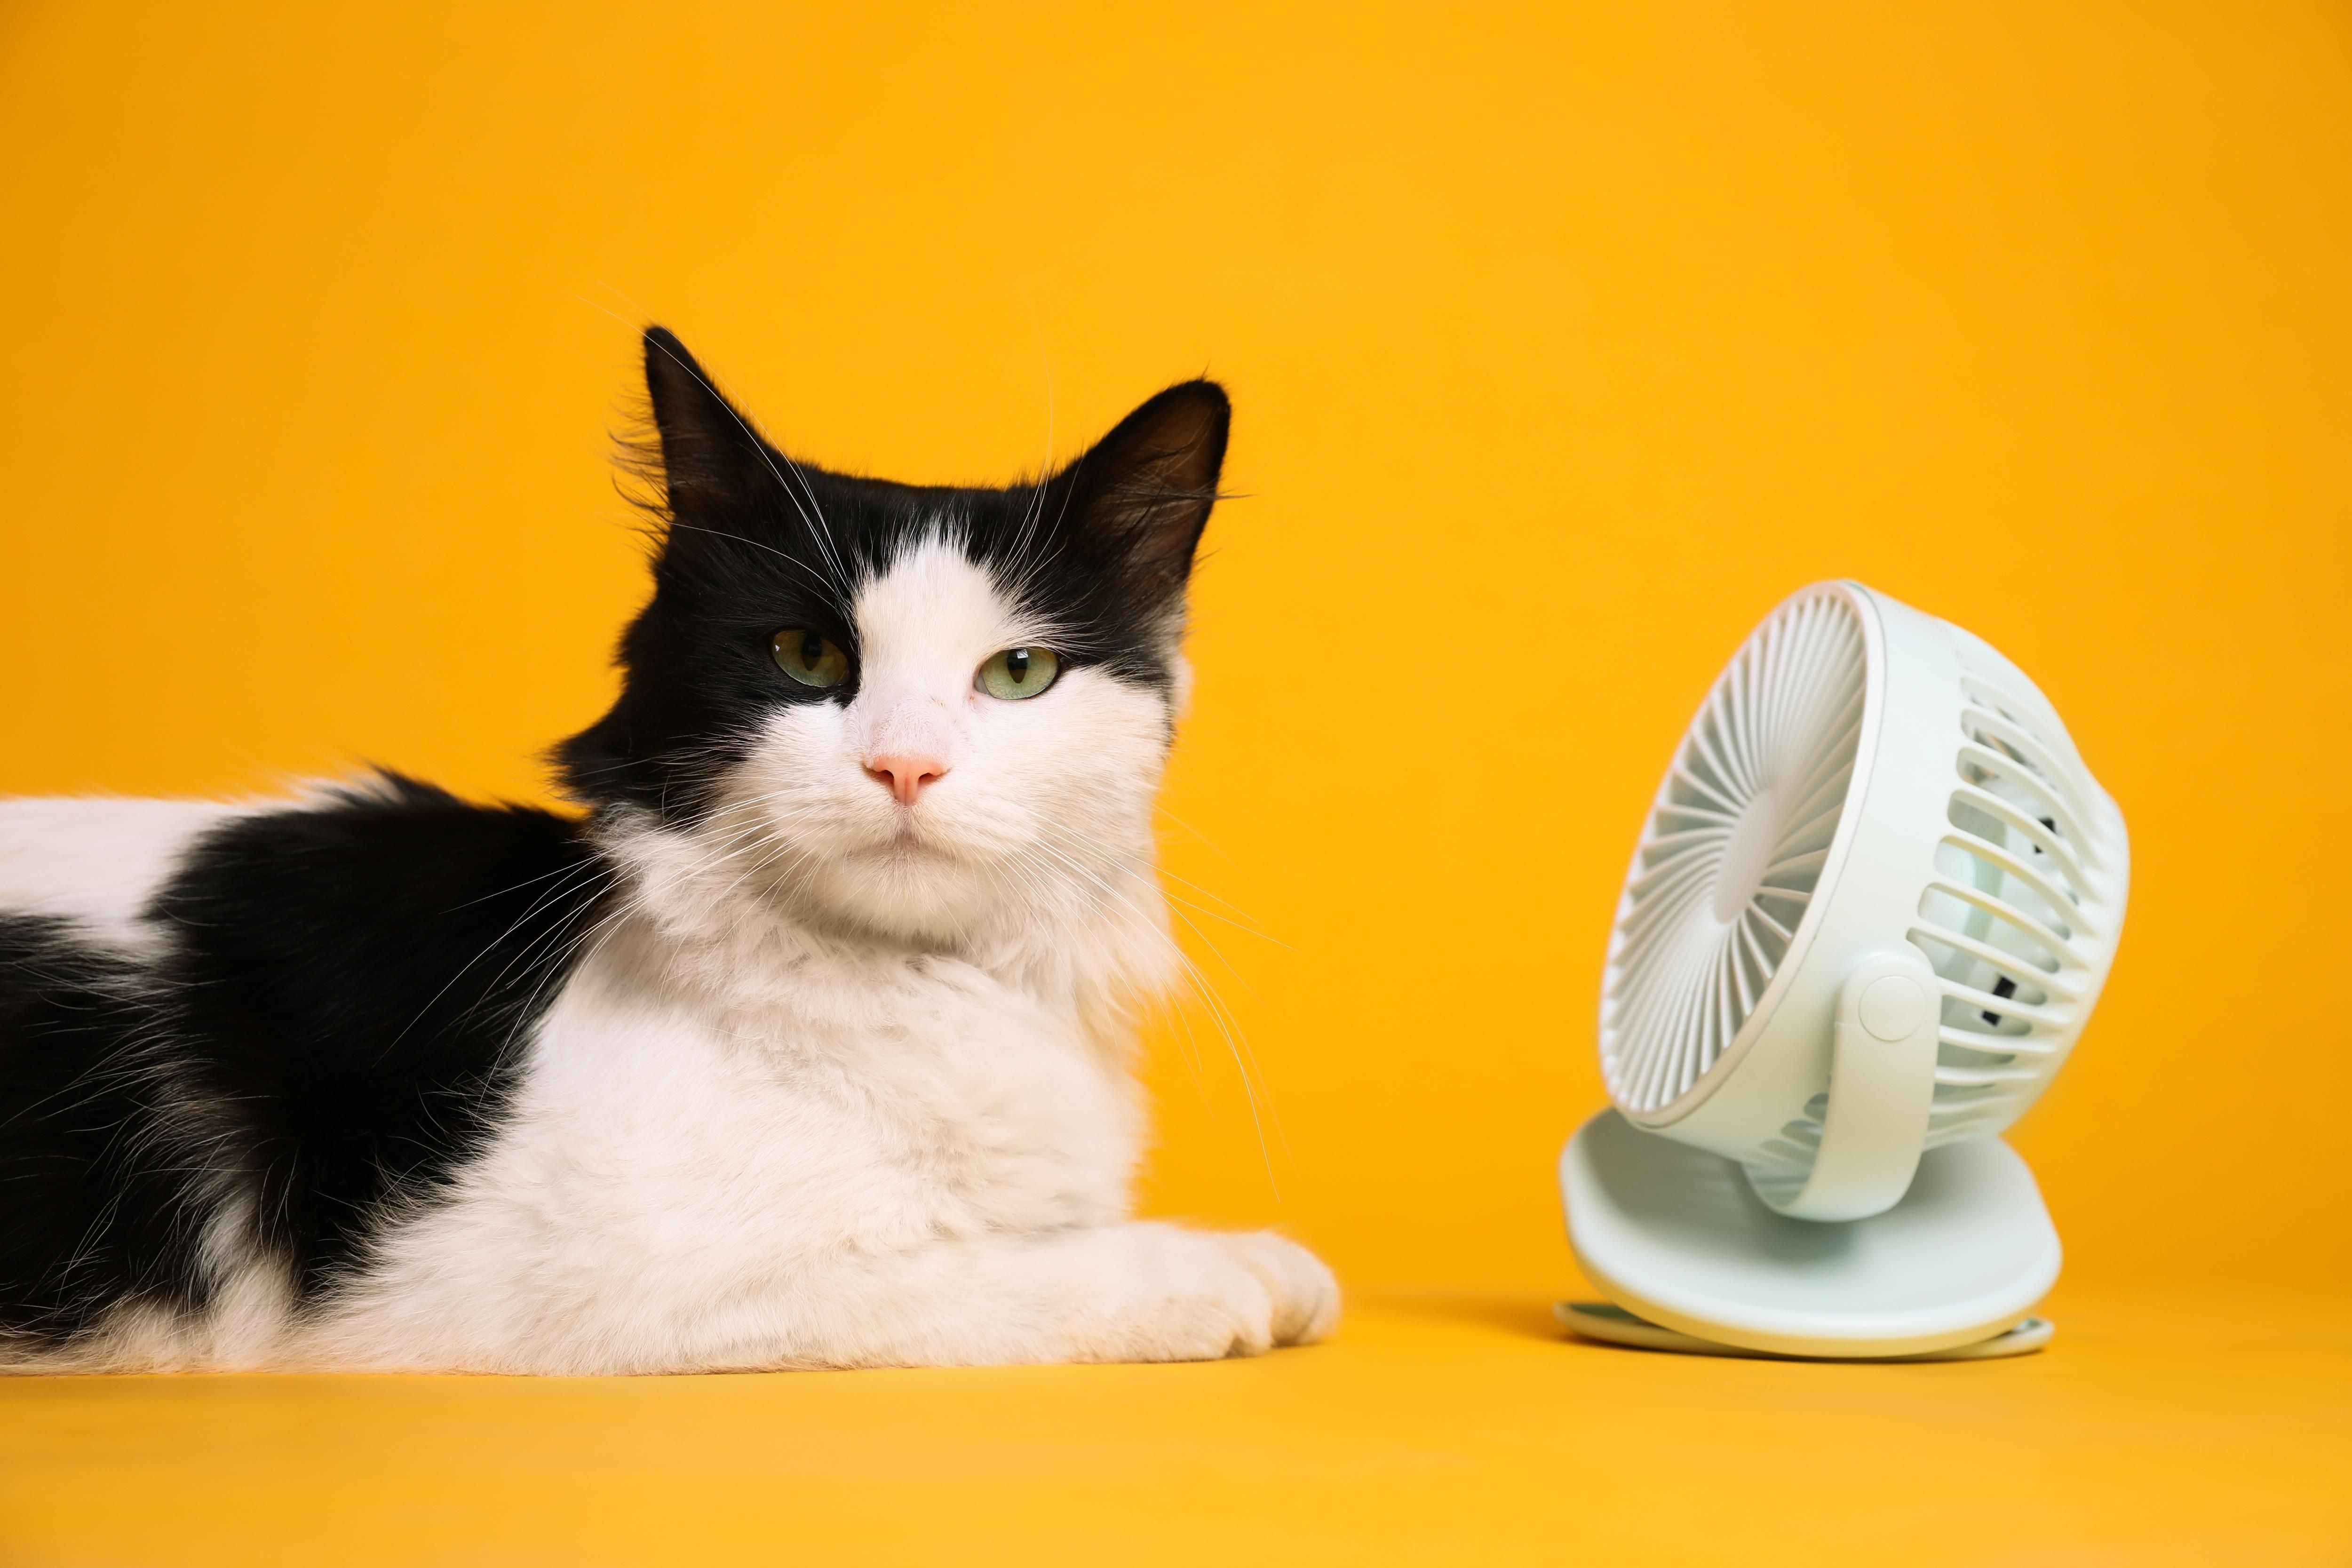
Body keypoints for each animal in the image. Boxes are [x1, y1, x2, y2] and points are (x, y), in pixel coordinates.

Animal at [0, 331, 1345, 1373]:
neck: (919, 991)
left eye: (1018, 673)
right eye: (808, 655)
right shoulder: (560, 1283)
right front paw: (1199, 1272)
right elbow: (962, 1266)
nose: (904, 765)